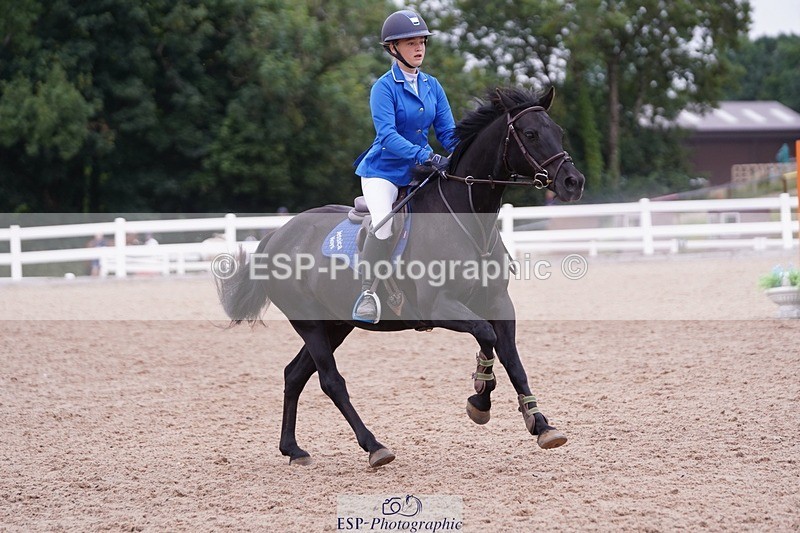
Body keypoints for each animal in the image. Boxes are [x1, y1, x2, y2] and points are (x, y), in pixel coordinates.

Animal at [216, 86, 585, 467]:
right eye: (530, 134)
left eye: (558, 131)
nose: (573, 182)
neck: (468, 219)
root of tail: (277, 235)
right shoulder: (439, 308)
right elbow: (486, 336)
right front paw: (480, 399)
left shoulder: (499, 303)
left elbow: (513, 360)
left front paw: (541, 424)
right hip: (310, 323)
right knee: (330, 381)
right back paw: (374, 446)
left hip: (334, 324)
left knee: (295, 374)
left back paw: (293, 449)